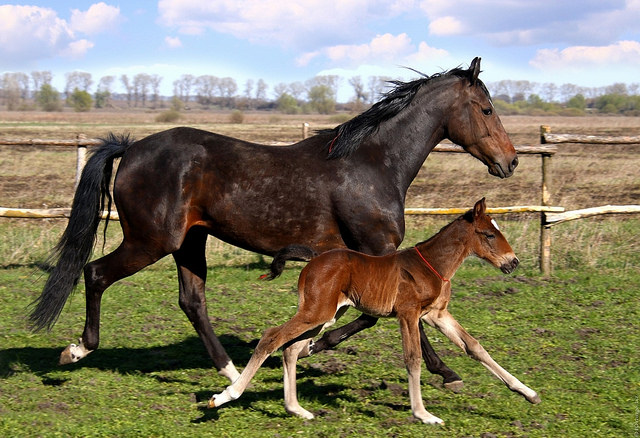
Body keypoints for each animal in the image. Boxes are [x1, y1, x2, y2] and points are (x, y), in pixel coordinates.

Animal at [31, 57, 520, 386]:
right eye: (487, 109)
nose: (510, 161)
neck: (372, 164)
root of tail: (131, 148)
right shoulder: (377, 251)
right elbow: (393, 317)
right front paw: (446, 372)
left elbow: (375, 316)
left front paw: (312, 345)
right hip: (151, 241)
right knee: (95, 273)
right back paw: (77, 350)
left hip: (190, 242)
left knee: (192, 300)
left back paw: (231, 371)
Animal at [210, 199, 540, 424]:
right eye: (488, 235)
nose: (513, 263)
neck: (432, 265)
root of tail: (313, 259)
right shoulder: (408, 314)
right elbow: (413, 358)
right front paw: (423, 414)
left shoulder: (437, 315)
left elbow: (474, 347)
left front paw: (528, 393)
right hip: (315, 312)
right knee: (271, 338)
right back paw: (226, 395)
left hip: (327, 315)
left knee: (290, 348)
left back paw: (297, 409)